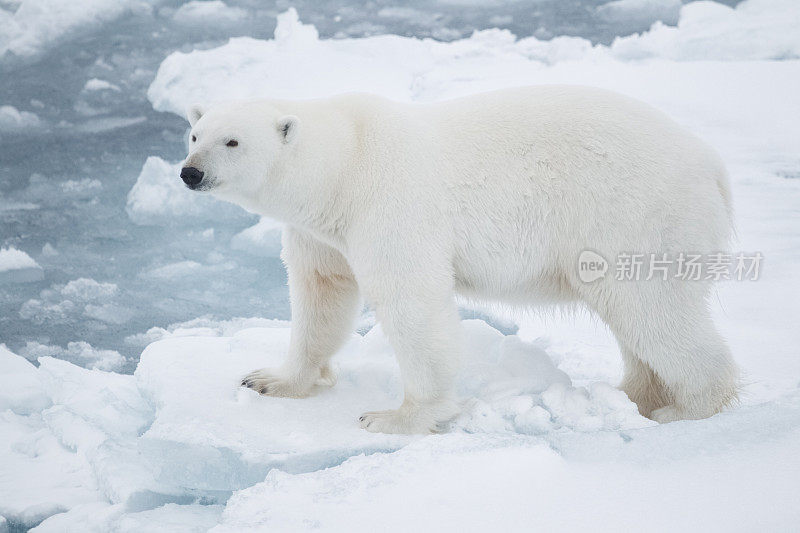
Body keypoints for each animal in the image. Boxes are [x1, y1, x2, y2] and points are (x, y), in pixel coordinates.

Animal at [180, 86, 736, 432]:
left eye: (233, 141)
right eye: (195, 134)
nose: (190, 173)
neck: (344, 163)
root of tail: (712, 164)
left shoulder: (389, 201)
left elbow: (412, 301)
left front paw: (394, 417)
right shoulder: (322, 230)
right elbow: (322, 293)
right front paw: (270, 380)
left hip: (634, 213)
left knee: (652, 307)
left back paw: (686, 410)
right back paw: (637, 396)